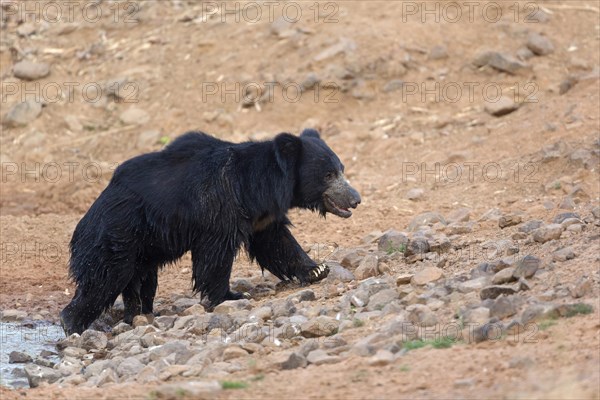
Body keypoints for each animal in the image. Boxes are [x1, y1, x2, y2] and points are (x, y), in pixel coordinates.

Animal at [61, 129, 360, 334]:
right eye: (328, 175)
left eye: (341, 169)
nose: (356, 199)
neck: (257, 189)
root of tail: (83, 224)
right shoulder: (219, 205)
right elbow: (216, 254)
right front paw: (231, 296)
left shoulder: (261, 217)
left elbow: (277, 243)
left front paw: (317, 269)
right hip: (115, 238)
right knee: (102, 281)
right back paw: (72, 324)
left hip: (143, 250)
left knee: (141, 283)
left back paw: (140, 314)